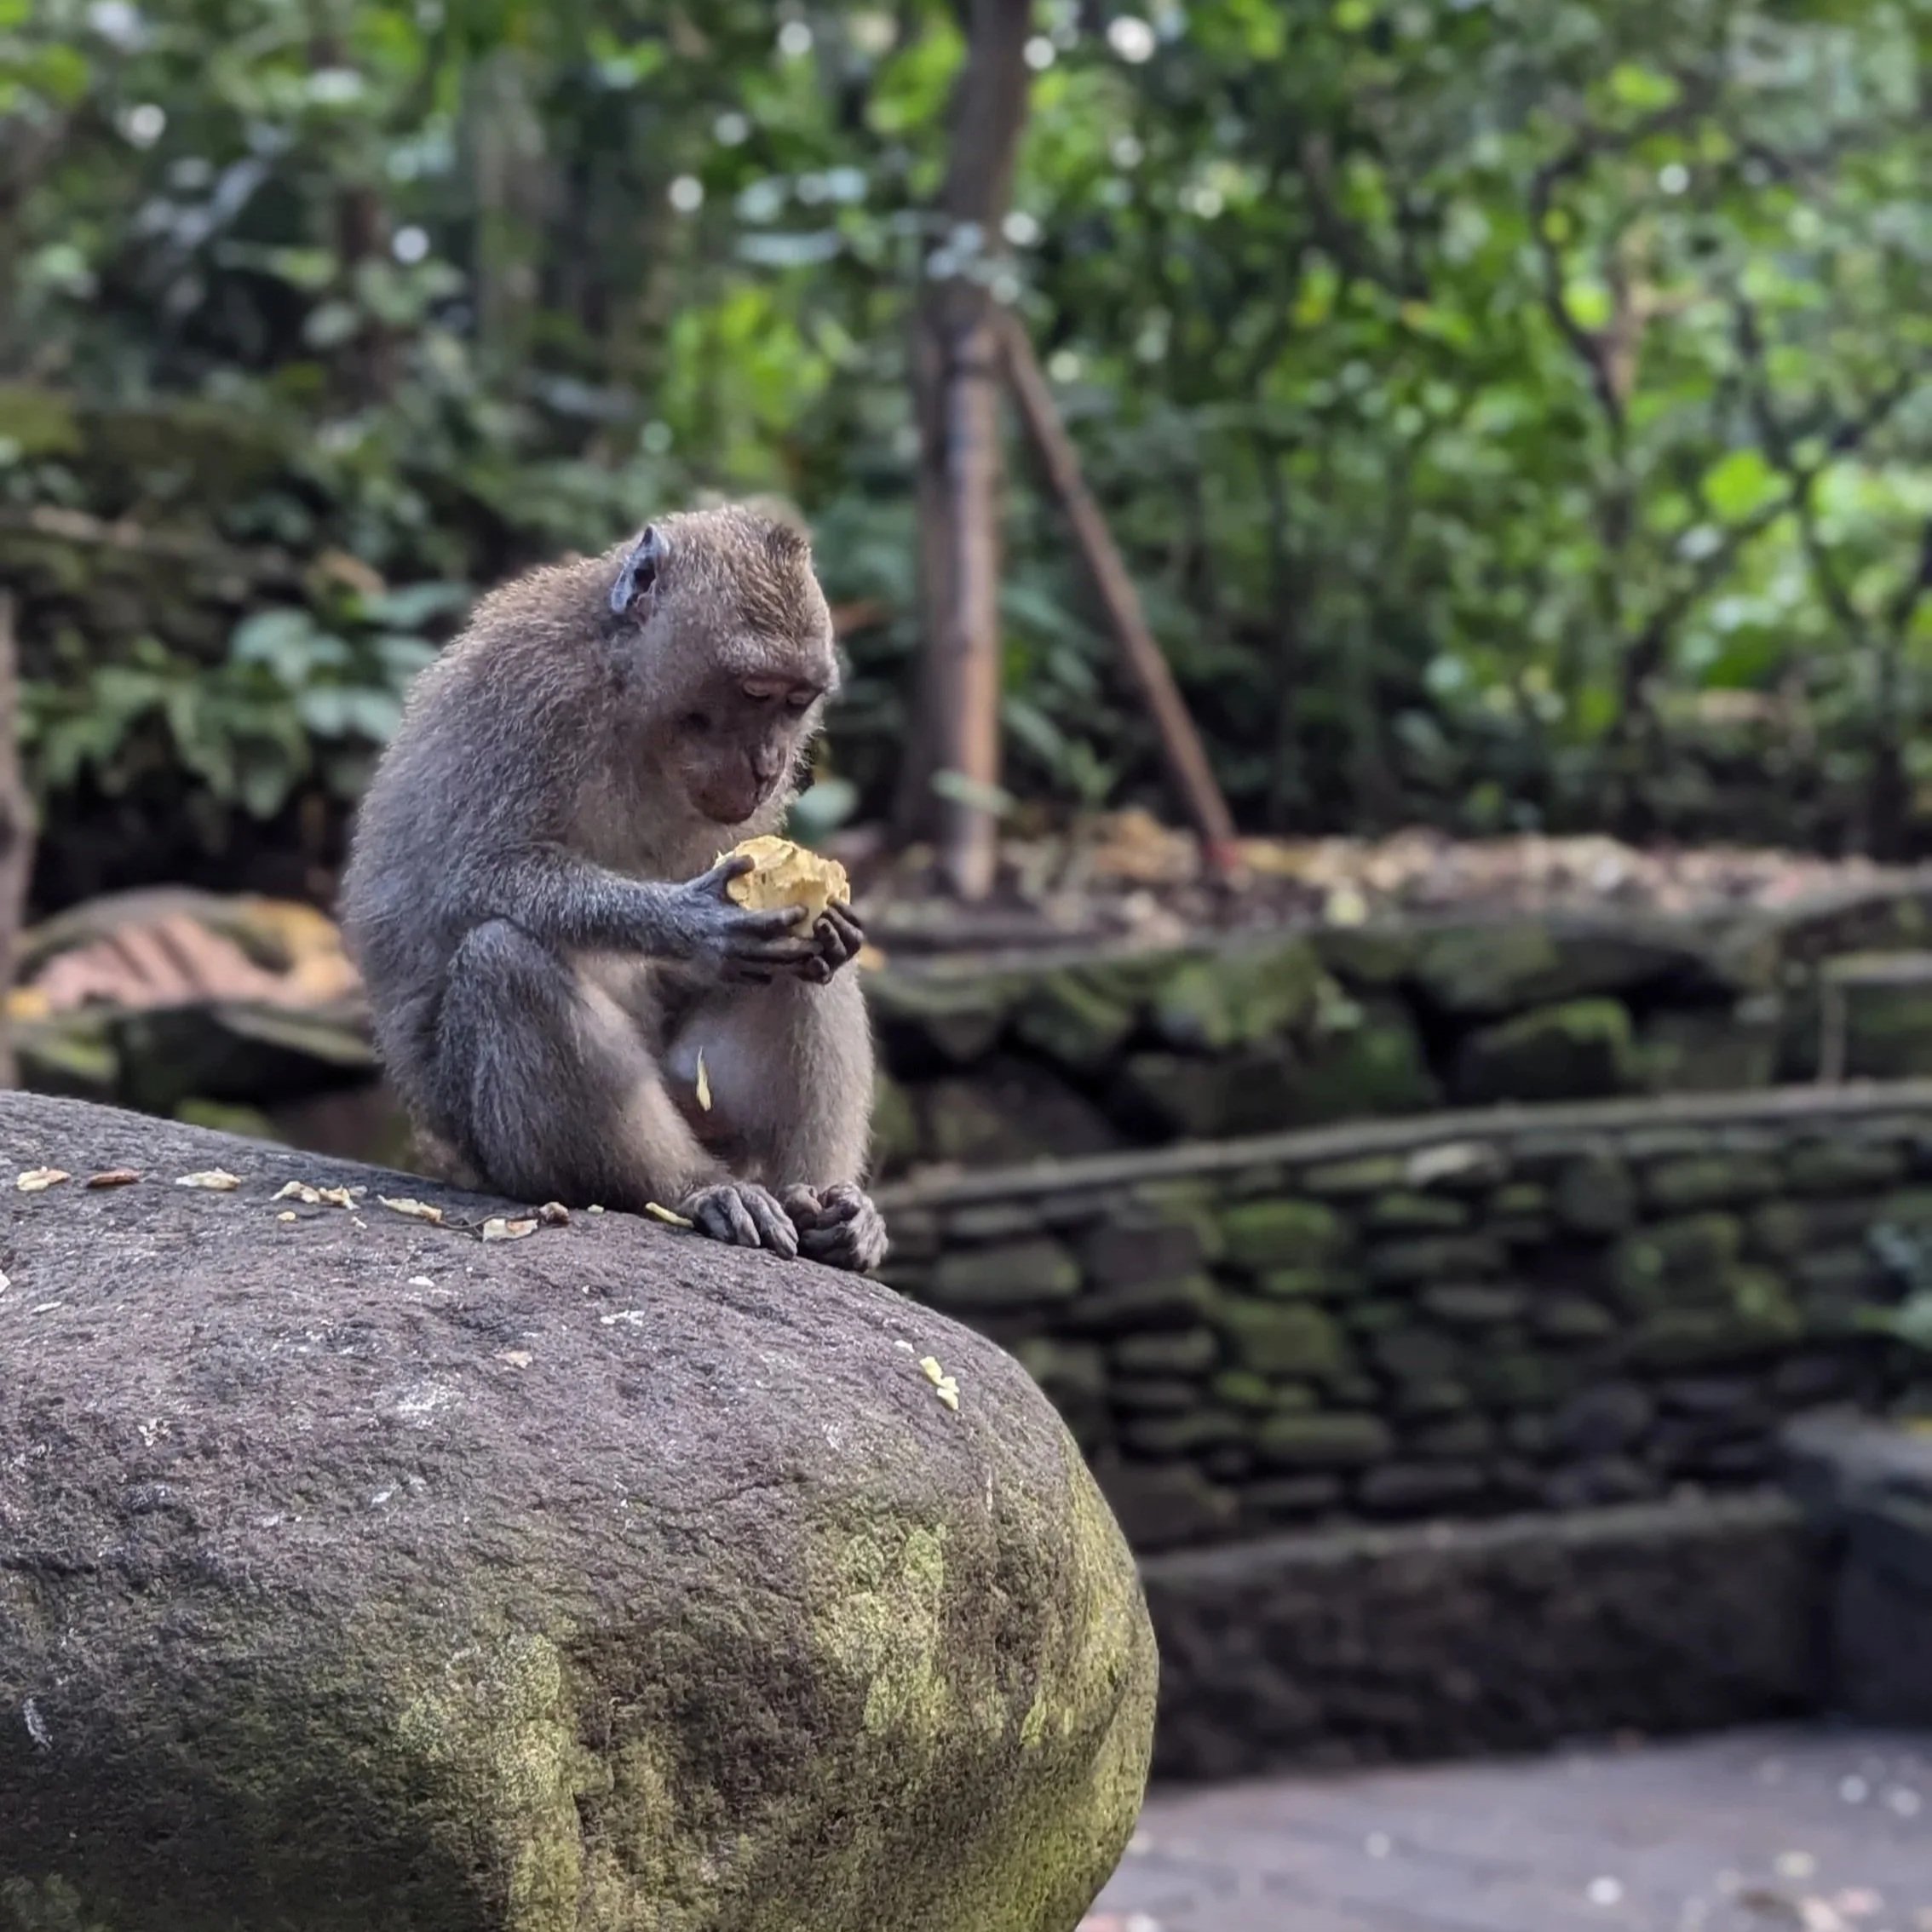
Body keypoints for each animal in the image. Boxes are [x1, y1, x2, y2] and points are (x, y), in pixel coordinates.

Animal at [337, 504, 888, 1272]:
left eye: (796, 702)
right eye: (753, 693)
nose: (768, 765)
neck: (634, 700)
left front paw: (832, 928)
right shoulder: (536, 694)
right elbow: (476, 876)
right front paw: (692, 922)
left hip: (704, 1098)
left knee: (807, 971)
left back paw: (825, 1206)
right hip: (500, 1149)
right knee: (501, 960)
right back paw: (692, 1188)